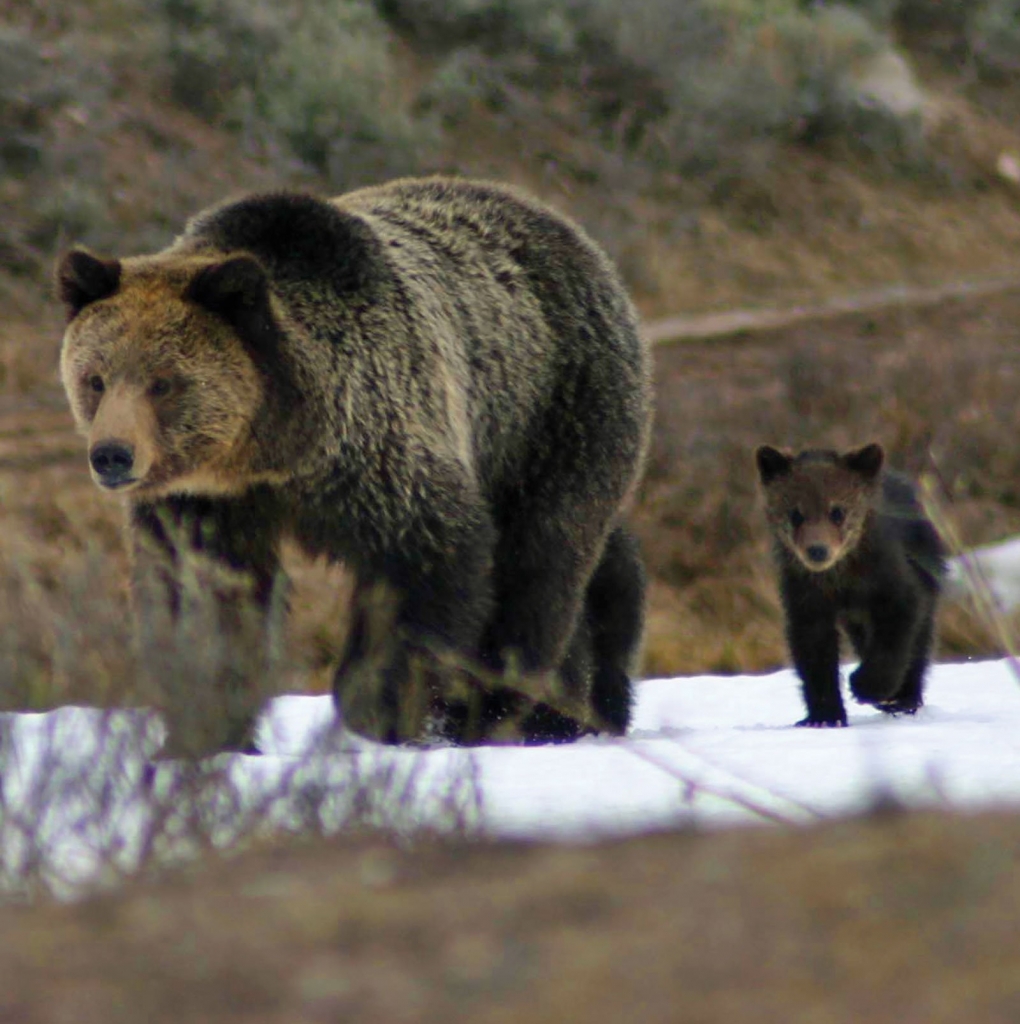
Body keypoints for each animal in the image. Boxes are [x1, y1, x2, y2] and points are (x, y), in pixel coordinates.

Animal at [55, 176, 651, 749]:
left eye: (163, 382)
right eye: (96, 379)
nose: (112, 455)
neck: (274, 450)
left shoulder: (382, 453)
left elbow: (423, 572)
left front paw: (386, 711)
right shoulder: (206, 501)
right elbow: (203, 599)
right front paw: (203, 727)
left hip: (550, 412)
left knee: (541, 562)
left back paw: (510, 712)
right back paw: (582, 705)